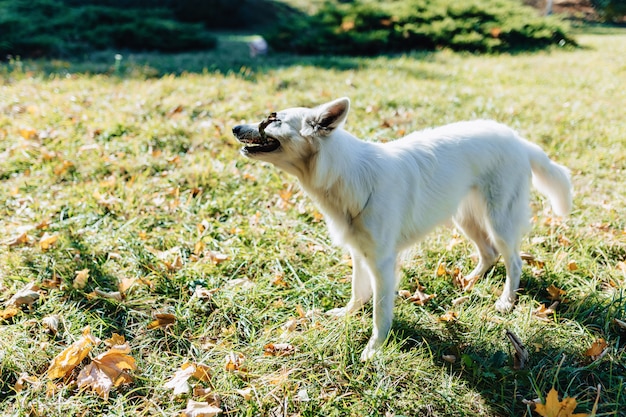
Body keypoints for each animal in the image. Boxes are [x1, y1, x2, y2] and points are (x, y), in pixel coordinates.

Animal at [230, 96, 572, 360]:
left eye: (273, 119)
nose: (234, 127)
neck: (345, 175)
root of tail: (518, 140)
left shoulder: (382, 263)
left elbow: (380, 312)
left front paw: (373, 349)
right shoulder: (359, 253)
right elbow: (358, 293)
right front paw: (345, 316)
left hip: (499, 220)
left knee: (513, 260)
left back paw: (505, 301)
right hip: (465, 217)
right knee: (489, 253)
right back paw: (469, 282)